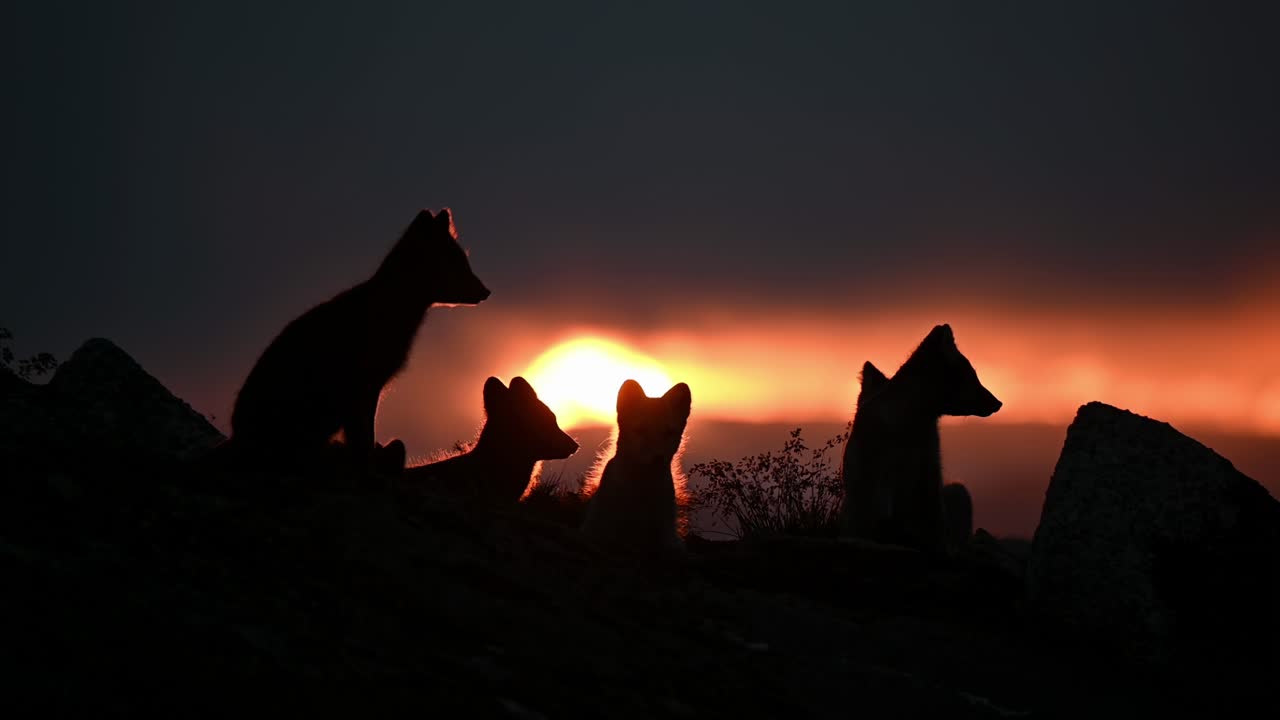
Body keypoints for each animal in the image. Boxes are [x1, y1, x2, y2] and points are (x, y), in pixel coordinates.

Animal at [218, 208, 490, 477]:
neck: (388, 311)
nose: (486, 291)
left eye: (464, 260)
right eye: (455, 262)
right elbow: (363, 441)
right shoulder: (362, 388)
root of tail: (238, 436)